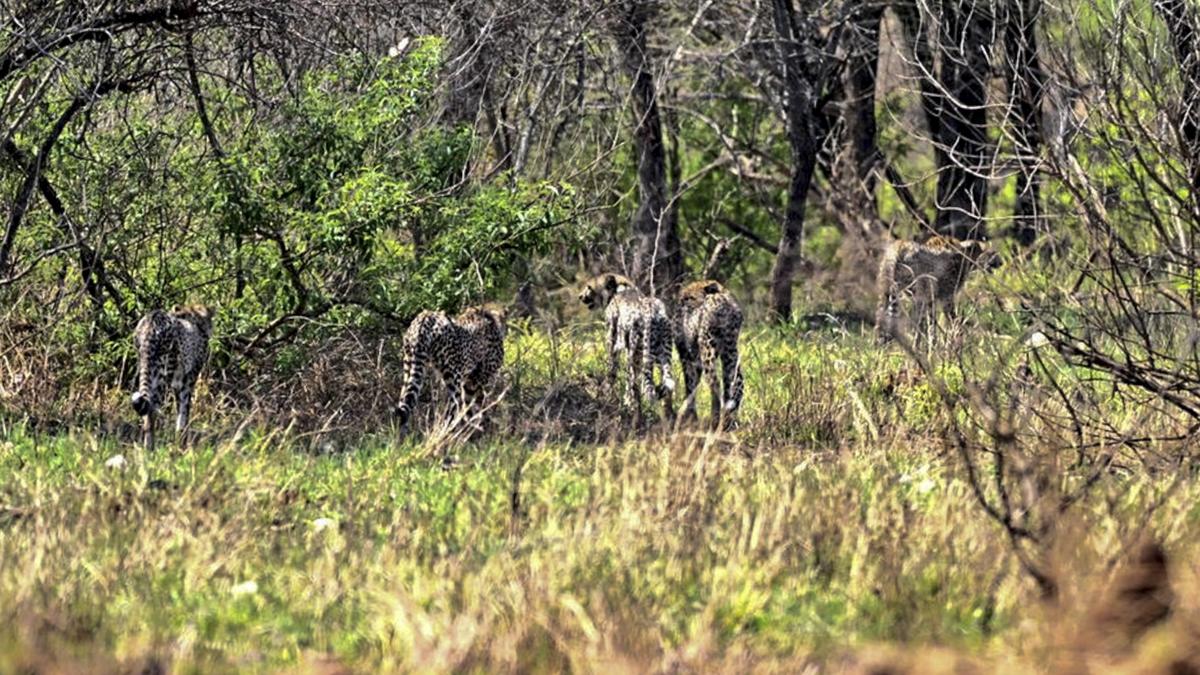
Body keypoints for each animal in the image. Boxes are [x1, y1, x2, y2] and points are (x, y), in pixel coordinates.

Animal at [131, 304, 214, 451]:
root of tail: (154, 317)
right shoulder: (188, 380)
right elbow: (185, 411)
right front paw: (182, 444)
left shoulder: (178, 383)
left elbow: (179, 410)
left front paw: (179, 441)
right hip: (163, 375)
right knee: (152, 409)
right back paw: (151, 449)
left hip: (146, 367)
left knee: (148, 409)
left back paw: (147, 448)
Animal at [393, 304, 507, 432]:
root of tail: (426, 318)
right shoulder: (478, 379)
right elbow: (476, 406)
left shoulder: (470, 382)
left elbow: (470, 409)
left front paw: (471, 429)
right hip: (454, 379)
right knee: (452, 410)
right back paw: (446, 432)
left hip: (409, 366)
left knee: (404, 402)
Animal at [579, 273, 675, 426]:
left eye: (589, 287)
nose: (580, 296)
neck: (620, 289)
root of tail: (653, 313)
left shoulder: (612, 344)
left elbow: (611, 372)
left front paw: (607, 393)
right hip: (663, 356)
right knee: (668, 384)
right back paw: (670, 416)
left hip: (634, 356)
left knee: (634, 386)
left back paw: (634, 415)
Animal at [673, 280, 744, 429]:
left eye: (690, 297)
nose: (681, 302)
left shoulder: (686, 355)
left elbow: (690, 385)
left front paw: (689, 418)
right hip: (730, 353)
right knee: (733, 384)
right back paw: (726, 420)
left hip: (708, 349)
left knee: (715, 382)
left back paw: (716, 420)